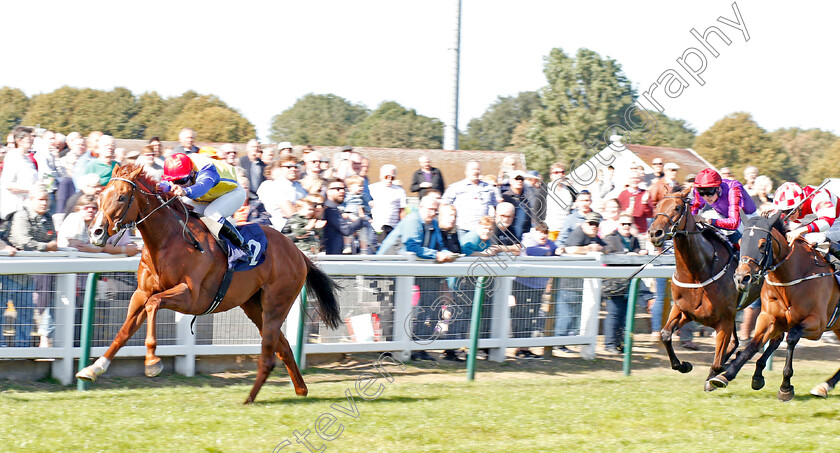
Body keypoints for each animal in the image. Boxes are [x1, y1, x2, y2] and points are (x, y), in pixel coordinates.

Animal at [74, 164, 342, 404]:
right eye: (101, 195)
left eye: (121, 197)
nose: (96, 232)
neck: (168, 240)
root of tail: (298, 252)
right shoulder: (140, 292)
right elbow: (125, 330)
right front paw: (93, 369)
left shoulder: (191, 297)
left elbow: (153, 304)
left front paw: (152, 362)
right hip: (254, 306)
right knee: (283, 346)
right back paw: (300, 390)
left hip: (276, 304)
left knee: (268, 354)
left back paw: (249, 398)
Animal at [644, 188, 760, 392]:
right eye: (657, 206)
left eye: (677, 207)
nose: (654, 233)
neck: (698, 270)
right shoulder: (684, 310)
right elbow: (665, 335)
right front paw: (684, 365)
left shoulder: (724, 320)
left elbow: (718, 362)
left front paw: (718, 374)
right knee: (735, 342)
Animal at [708, 211, 840, 400]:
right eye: (741, 242)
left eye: (763, 244)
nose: (741, 278)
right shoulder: (768, 318)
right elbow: (753, 345)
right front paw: (725, 375)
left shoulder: (818, 324)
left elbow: (792, 337)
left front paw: (785, 387)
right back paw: (824, 386)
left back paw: (824, 386)